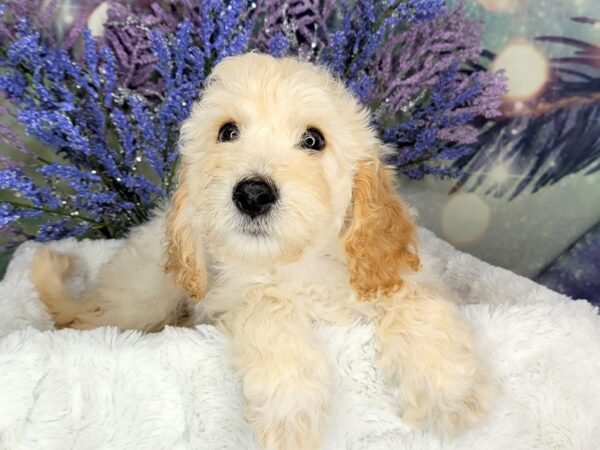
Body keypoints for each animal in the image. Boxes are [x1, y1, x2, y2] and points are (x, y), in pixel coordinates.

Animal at [31, 53, 492, 450]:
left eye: (313, 139)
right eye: (227, 132)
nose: (252, 194)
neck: (297, 263)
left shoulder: (392, 269)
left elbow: (416, 299)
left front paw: (448, 392)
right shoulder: (230, 295)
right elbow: (268, 309)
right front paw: (291, 414)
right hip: (142, 297)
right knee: (89, 319)